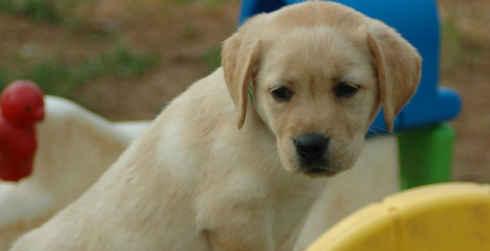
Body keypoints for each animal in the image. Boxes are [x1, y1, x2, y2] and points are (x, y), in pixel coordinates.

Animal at [9, 1, 420, 251]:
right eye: (281, 93)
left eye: (346, 89)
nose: (310, 145)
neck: (264, 135)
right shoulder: (234, 220)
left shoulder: (287, 226)